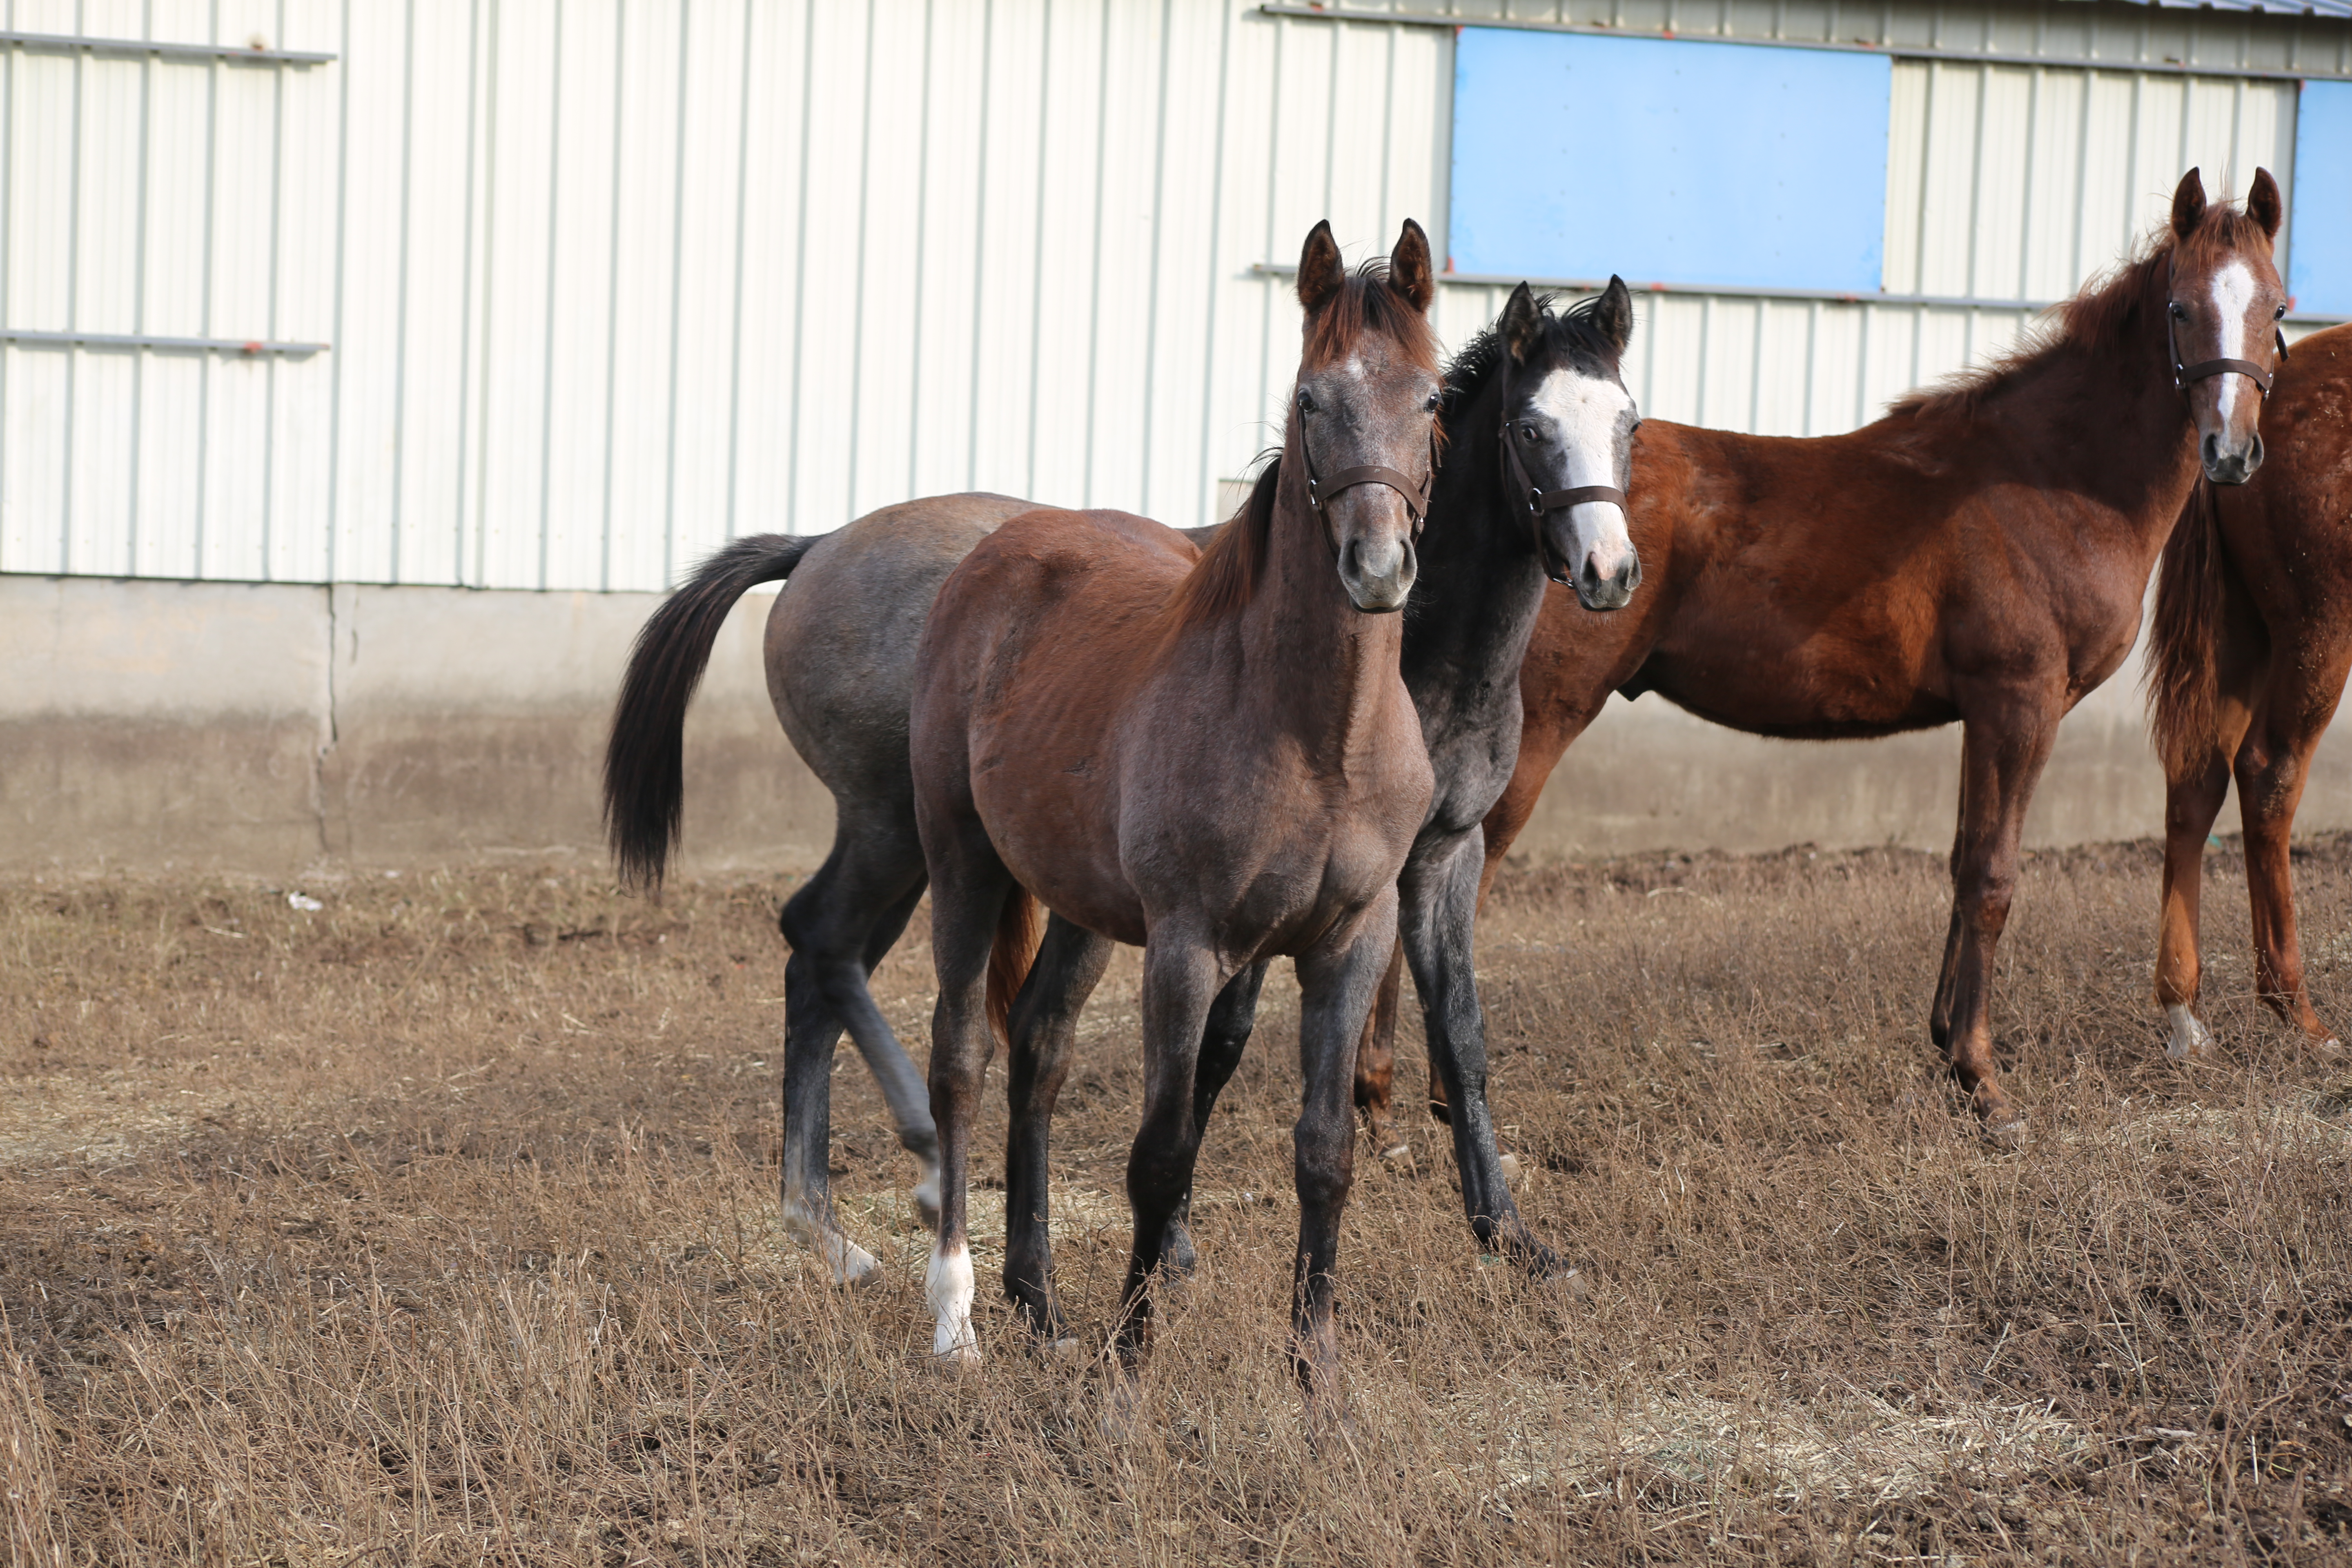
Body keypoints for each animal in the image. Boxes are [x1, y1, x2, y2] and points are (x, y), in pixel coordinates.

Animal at [908, 223, 1439, 1420]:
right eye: (1309, 399)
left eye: (1431, 399)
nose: (1376, 568)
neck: (1316, 734)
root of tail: (995, 557)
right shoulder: (1189, 946)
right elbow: (1159, 1156)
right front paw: (1126, 1373)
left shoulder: (1351, 941)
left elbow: (1324, 1148)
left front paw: (1316, 1379)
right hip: (963, 863)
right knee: (960, 1056)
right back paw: (956, 1322)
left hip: (1081, 906)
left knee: (1040, 1051)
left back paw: (1039, 1304)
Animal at [1354, 165, 2286, 1142]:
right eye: (2181, 309)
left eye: (2278, 308)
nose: (2231, 452)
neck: (2047, 478)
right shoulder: (2020, 704)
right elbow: (1995, 876)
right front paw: (1985, 1083)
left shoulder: (1984, 715)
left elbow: (1964, 864)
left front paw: (1948, 1046)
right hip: (1541, 721)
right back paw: (1406, 1096)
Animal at [2154, 317, 2352, 1062]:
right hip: (2318, 633)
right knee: (2269, 773)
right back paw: (2299, 1012)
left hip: (2243, 631)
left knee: (2198, 779)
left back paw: (2184, 1014)